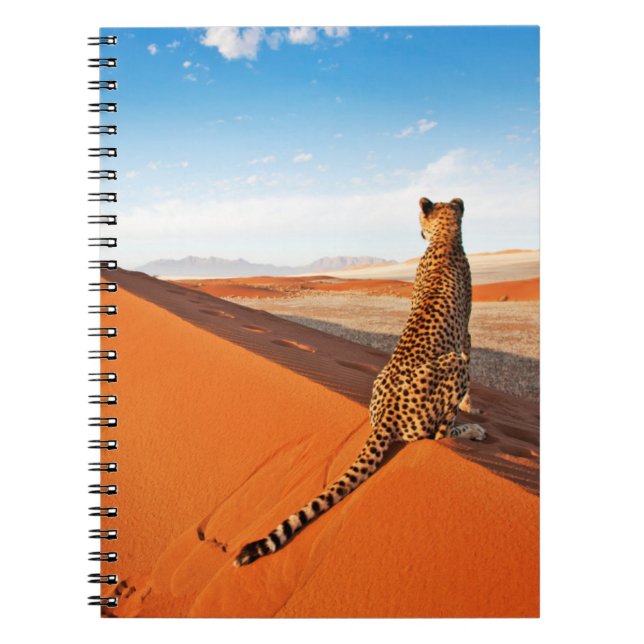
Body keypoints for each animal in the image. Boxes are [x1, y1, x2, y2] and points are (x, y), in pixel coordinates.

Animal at [234, 196, 485, 567]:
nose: (418, 232)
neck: (445, 239)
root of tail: (387, 414)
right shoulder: (464, 339)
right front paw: (474, 411)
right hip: (451, 368)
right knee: (437, 436)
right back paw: (471, 432)